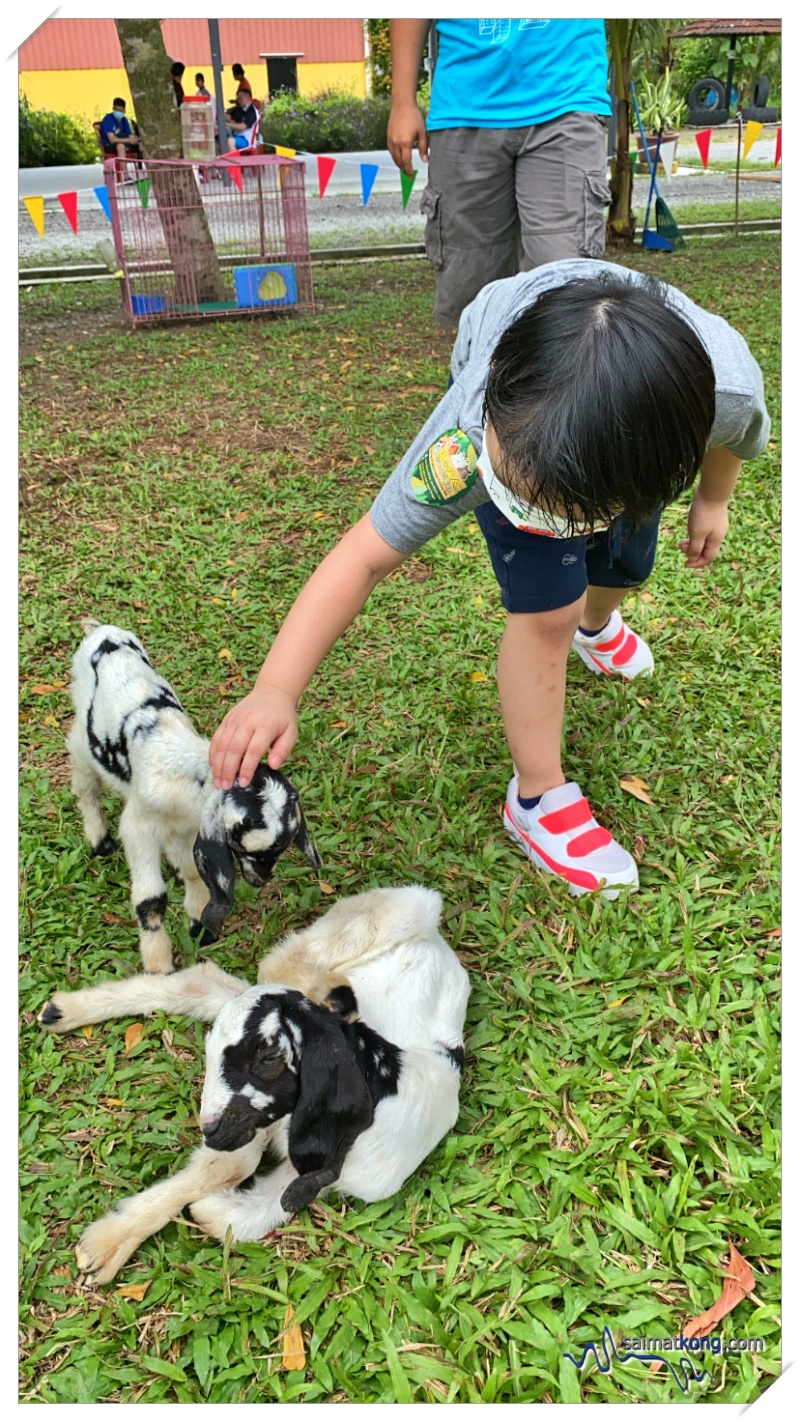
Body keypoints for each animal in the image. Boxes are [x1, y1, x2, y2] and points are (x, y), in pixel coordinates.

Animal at [39, 881, 468, 1285]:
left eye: (269, 1059)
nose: (209, 1128)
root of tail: (443, 950)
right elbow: (229, 1167)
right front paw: (107, 1243)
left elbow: (238, 1212)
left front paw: (120, 1239)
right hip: (400, 908)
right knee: (273, 968)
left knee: (211, 982)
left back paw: (61, 1010)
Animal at [67, 625, 321, 978]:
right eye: (247, 849)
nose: (260, 880)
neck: (182, 768)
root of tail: (103, 632)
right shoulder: (139, 827)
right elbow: (151, 898)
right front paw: (158, 966)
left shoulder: (191, 826)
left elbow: (192, 870)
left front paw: (199, 924)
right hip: (81, 743)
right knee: (86, 787)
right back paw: (98, 839)